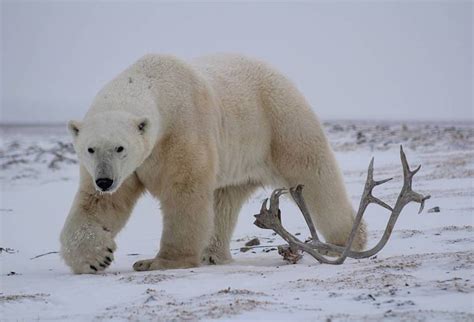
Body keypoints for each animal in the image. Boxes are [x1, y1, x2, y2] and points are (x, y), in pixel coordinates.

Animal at [60, 54, 366, 272]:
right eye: (90, 148)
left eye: (120, 147)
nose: (104, 181)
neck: (154, 83)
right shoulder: (125, 168)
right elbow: (100, 204)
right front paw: (96, 257)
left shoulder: (183, 130)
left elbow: (184, 192)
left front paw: (159, 262)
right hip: (239, 159)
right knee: (225, 200)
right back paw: (213, 254)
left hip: (281, 123)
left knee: (315, 177)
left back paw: (344, 242)